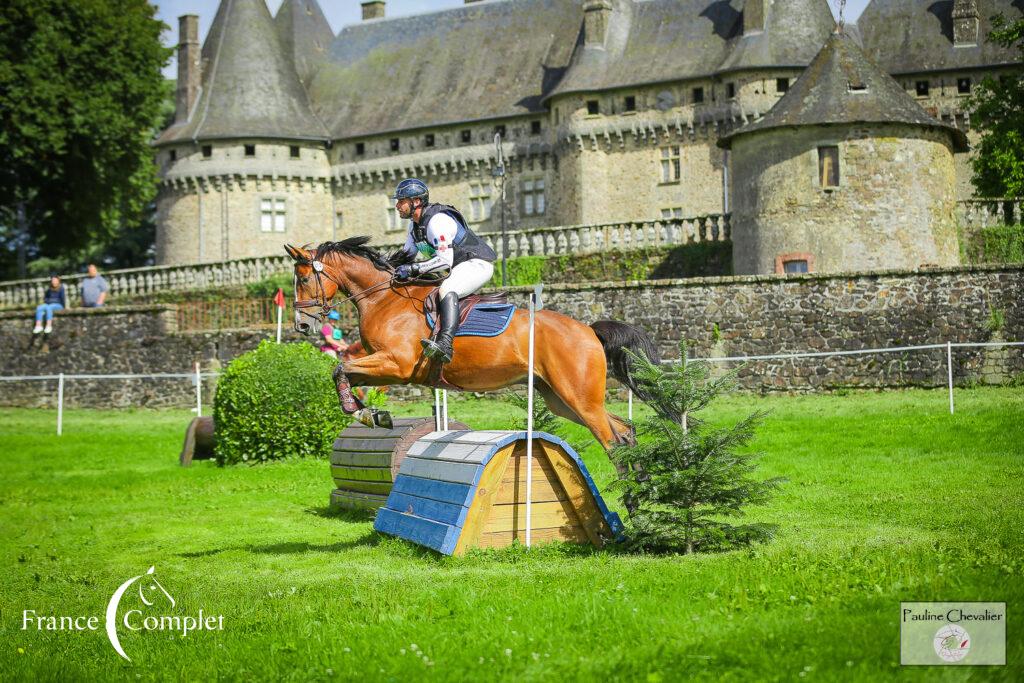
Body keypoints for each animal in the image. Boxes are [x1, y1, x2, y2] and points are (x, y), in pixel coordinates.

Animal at [284, 239, 659, 458]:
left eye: (302, 279)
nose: (301, 325)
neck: (384, 299)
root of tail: (588, 330)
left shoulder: (396, 364)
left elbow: (339, 368)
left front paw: (364, 412)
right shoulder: (389, 369)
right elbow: (344, 375)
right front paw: (370, 413)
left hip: (579, 397)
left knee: (613, 442)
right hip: (561, 399)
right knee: (625, 432)